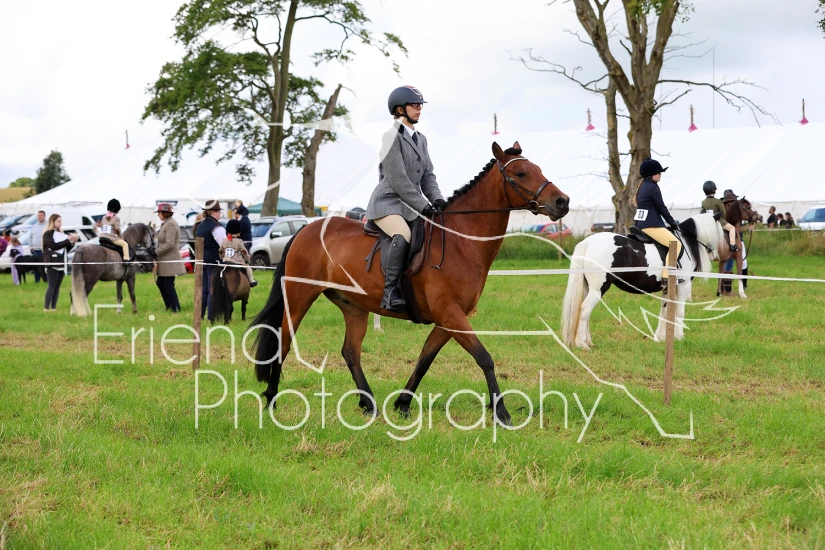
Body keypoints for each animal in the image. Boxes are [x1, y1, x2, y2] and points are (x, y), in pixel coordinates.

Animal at [252, 142, 569, 425]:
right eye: (521, 174)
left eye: (538, 169)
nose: (562, 202)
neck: (461, 240)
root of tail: (305, 229)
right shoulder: (450, 314)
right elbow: (484, 357)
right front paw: (501, 414)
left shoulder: (448, 319)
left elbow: (424, 359)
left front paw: (402, 404)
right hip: (299, 298)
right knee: (283, 342)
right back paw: (271, 400)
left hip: (354, 307)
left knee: (351, 352)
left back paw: (369, 405)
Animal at [561, 213, 724, 349]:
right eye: (721, 233)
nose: (716, 256)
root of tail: (587, 242)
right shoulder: (684, 286)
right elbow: (680, 312)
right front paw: (679, 337)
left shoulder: (668, 288)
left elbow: (664, 312)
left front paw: (659, 338)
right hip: (598, 288)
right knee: (584, 310)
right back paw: (582, 344)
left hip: (588, 288)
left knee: (584, 312)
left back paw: (588, 342)